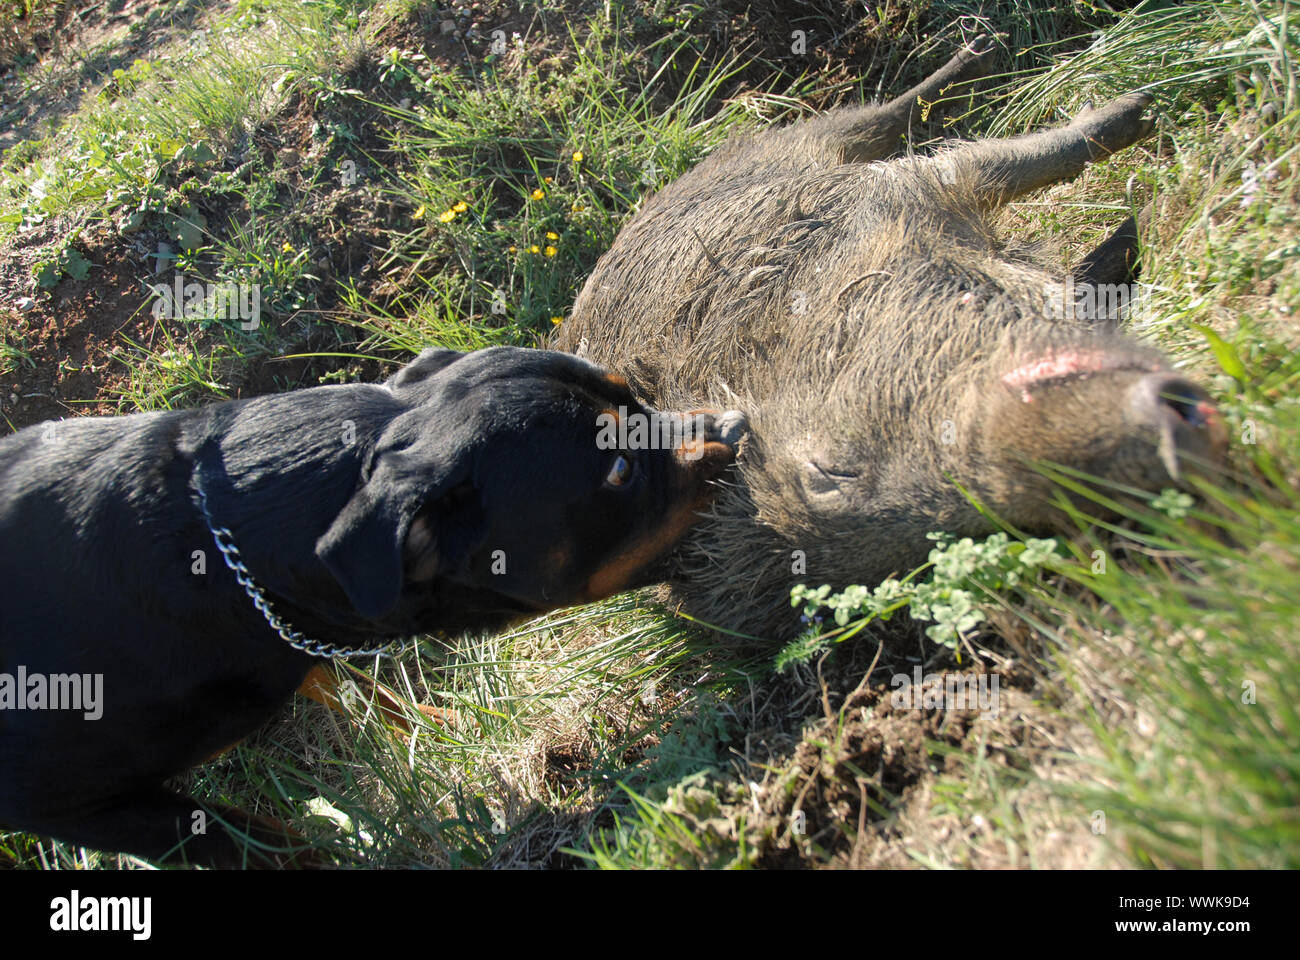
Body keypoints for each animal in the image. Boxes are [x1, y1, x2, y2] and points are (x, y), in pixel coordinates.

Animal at [0, 346, 748, 868]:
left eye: (636, 395)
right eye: (618, 470)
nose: (737, 426)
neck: (216, 554)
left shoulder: (300, 631)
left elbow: (351, 683)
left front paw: (443, 723)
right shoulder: (83, 808)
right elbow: (270, 844)